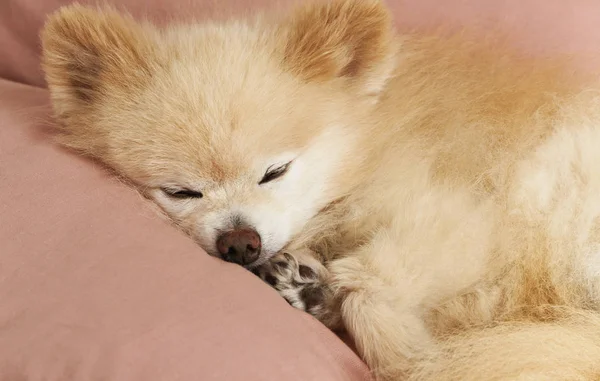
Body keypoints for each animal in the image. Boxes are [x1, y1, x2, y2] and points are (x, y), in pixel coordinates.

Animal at [41, 0, 600, 380]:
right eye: (181, 192)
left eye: (275, 171)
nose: (239, 243)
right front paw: (310, 285)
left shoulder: (459, 218)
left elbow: (370, 290)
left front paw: (414, 356)